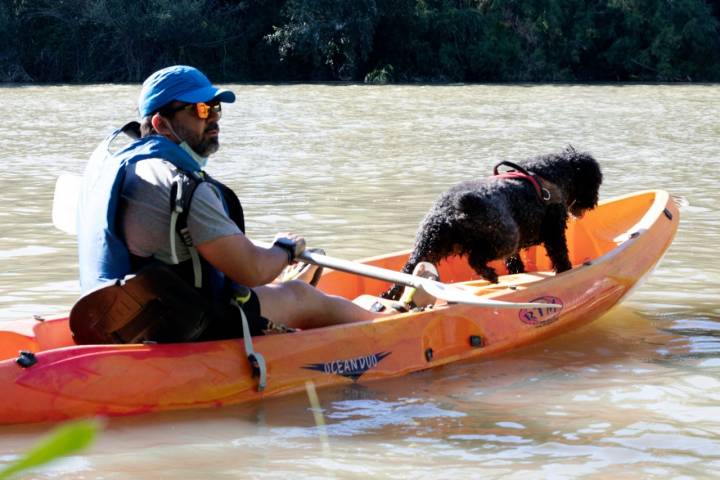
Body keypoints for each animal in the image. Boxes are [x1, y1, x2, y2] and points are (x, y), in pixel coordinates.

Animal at [382, 146, 600, 298]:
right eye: (597, 181)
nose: (594, 202)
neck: (551, 174)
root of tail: (453, 209)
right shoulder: (554, 234)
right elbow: (561, 257)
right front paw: (567, 271)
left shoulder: (517, 249)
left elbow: (515, 264)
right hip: (505, 239)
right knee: (475, 259)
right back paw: (490, 275)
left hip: (427, 247)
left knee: (406, 271)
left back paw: (391, 294)